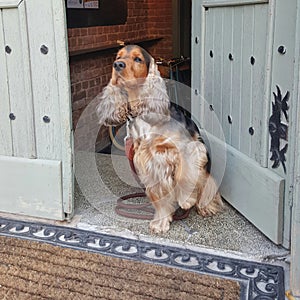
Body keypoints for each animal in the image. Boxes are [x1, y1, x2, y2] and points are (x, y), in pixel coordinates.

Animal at [96, 44, 223, 233]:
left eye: (138, 59)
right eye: (118, 56)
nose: (117, 65)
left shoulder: (189, 148)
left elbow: (184, 175)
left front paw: (186, 199)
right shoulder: (149, 163)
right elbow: (158, 196)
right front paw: (161, 222)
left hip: (206, 174)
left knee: (206, 188)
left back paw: (205, 207)